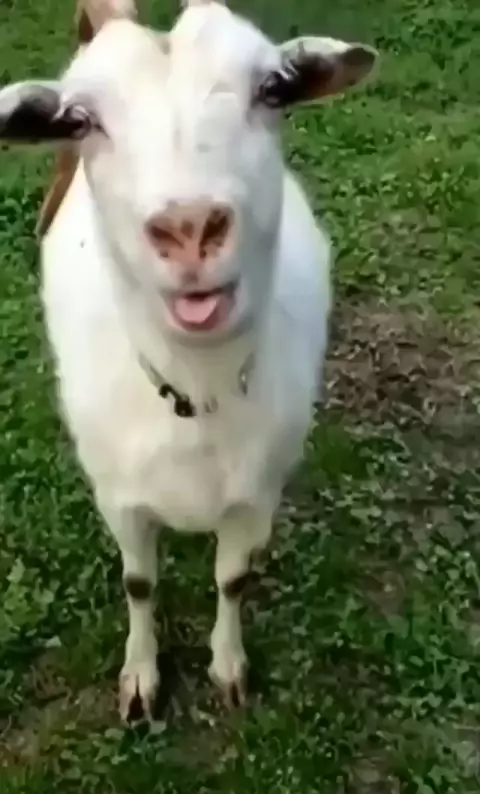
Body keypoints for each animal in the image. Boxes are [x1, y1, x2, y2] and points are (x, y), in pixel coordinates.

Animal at [0, 0, 378, 722]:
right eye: (80, 120)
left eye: (273, 89)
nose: (189, 226)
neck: (198, 392)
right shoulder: (119, 497)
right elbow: (139, 583)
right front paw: (141, 679)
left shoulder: (256, 495)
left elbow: (232, 579)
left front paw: (227, 669)